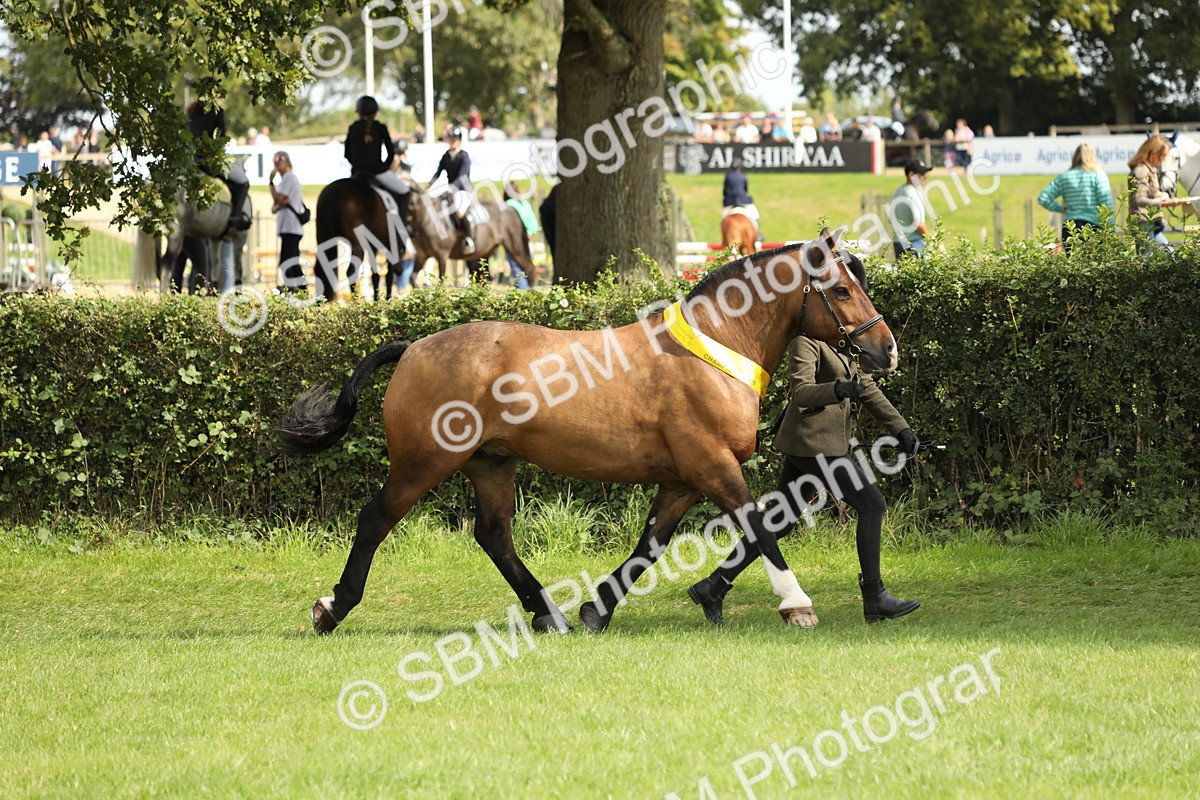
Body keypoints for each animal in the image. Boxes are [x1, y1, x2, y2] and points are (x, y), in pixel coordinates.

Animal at [277, 228, 897, 636]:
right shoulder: (713, 465)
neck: (715, 348)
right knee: (375, 520)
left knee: (494, 535)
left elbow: (649, 545)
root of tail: (414, 348)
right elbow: (761, 526)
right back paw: (333, 608)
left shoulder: (683, 479)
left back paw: (548, 613)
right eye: (841, 290)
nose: (884, 349)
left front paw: (598, 608)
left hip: (491, 462)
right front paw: (796, 603)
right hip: (423, 462)